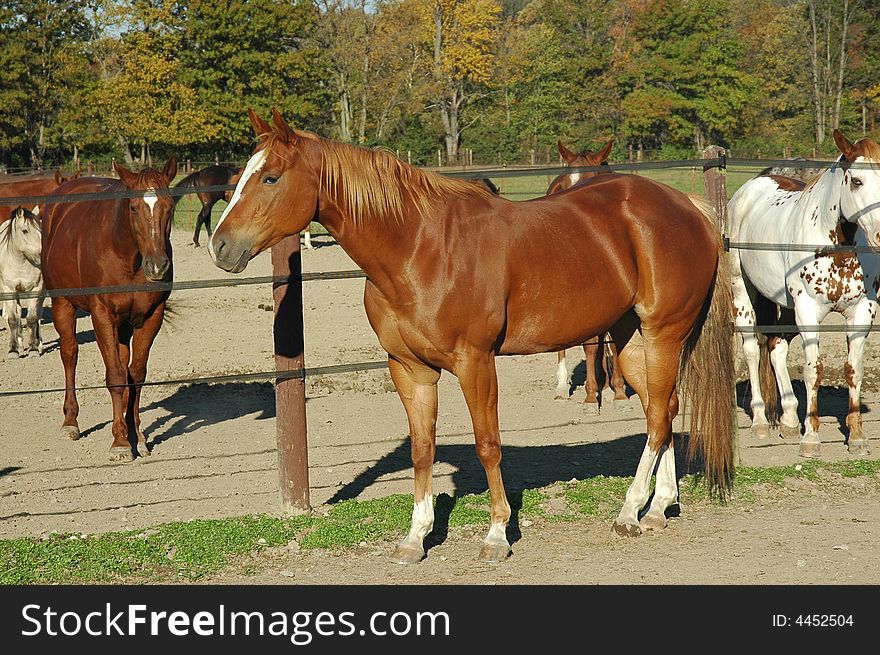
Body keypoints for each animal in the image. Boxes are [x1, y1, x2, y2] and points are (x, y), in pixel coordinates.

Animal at [0, 208, 43, 356]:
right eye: (25, 231)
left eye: (40, 229)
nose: (42, 253)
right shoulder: (9, 289)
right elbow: (13, 319)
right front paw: (13, 350)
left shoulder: (36, 289)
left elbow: (32, 318)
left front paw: (33, 348)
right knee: (16, 313)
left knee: (39, 314)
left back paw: (38, 343)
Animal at [41, 158, 177, 462]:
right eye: (133, 207)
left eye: (170, 206)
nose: (157, 265)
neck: (128, 256)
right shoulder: (101, 314)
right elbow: (115, 376)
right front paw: (120, 443)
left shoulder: (151, 316)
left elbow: (135, 375)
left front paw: (136, 436)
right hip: (62, 304)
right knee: (70, 355)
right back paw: (71, 421)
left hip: (124, 324)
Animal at [548, 140, 628, 416]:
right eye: (564, 185)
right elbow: (591, 345)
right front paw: (592, 396)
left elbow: (612, 345)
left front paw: (617, 391)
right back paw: (562, 387)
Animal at [728, 131, 880, 458]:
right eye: (856, 181)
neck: (838, 248)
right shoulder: (809, 312)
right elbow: (814, 371)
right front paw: (811, 438)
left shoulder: (862, 312)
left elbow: (854, 369)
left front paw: (857, 437)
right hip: (743, 295)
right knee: (751, 350)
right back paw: (760, 421)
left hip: (786, 306)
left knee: (776, 349)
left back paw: (787, 418)